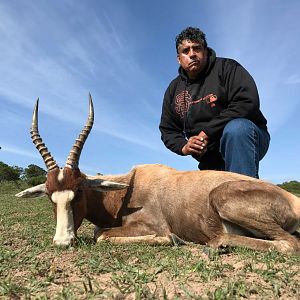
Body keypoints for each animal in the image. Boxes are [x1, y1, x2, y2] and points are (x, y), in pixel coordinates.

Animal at [15, 96, 300, 253]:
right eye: (49, 196)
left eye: (79, 191)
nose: (63, 242)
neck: (129, 187)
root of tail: (292, 200)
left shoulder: (150, 225)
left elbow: (101, 235)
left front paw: (171, 239)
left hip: (223, 199)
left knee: (290, 244)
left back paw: (218, 243)